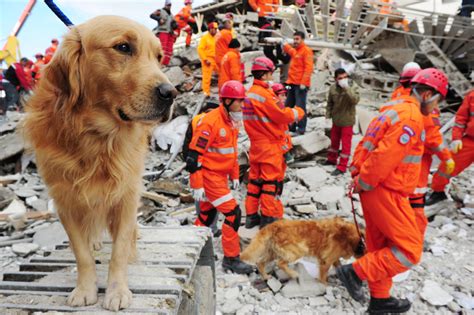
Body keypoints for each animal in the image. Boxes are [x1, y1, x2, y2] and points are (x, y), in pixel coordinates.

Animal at [22, 15, 176, 312]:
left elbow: (119, 250)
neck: (96, 137)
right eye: (124, 47)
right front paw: (85, 289)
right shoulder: (65, 200)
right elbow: (81, 253)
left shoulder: (126, 194)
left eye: (158, 56)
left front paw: (117, 291)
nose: (171, 92)